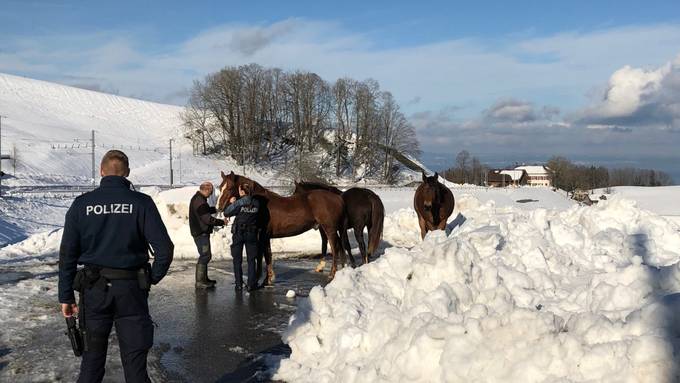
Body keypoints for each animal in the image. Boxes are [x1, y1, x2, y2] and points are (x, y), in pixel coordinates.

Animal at [216, 172, 350, 282]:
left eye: (229, 188)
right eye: (220, 187)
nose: (219, 207)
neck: (260, 203)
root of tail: (338, 198)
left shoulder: (263, 235)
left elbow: (264, 255)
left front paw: (266, 279)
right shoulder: (264, 237)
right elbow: (265, 255)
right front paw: (267, 279)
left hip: (330, 229)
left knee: (335, 249)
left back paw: (332, 275)